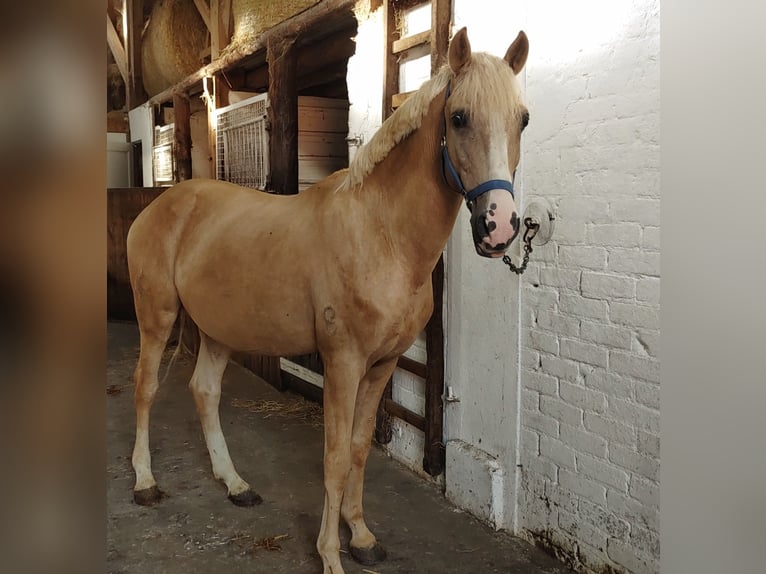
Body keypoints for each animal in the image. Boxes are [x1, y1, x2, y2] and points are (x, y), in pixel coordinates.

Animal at [129, 25, 532, 574]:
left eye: (523, 119)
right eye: (459, 117)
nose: (500, 226)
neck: (381, 233)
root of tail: (160, 205)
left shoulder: (382, 365)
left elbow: (359, 449)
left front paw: (360, 537)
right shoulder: (343, 362)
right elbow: (335, 457)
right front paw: (330, 555)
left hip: (217, 327)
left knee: (205, 391)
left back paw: (235, 484)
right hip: (157, 316)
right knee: (146, 387)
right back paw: (145, 482)